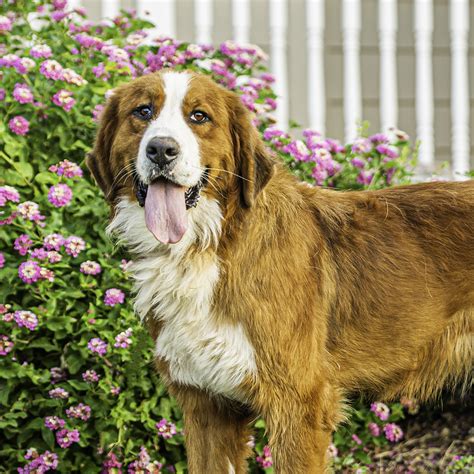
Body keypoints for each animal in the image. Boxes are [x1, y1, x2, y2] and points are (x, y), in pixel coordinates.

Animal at [86, 71, 474, 474]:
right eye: (143, 112)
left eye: (199, 117)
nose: (161, 150)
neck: (212, 245)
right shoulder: (206, 405)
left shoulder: (298, 406)